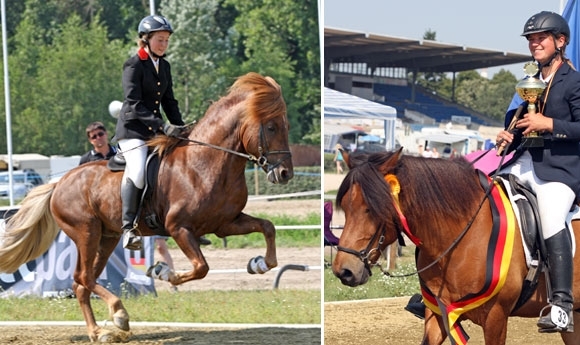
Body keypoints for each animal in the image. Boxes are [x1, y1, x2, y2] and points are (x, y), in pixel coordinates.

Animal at [0, 72, 292, 342]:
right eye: (271, 127)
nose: (285, 173)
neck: (206, 162)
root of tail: (59, 183)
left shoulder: (225, 223)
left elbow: (268, 228)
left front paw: (258, 264)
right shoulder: (179, 228)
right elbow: (201, 267)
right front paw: (163, 272)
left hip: (106, 237)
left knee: (82, 282)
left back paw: (99, 331)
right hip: (85, 232)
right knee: (83, 277)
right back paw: (118, 315)